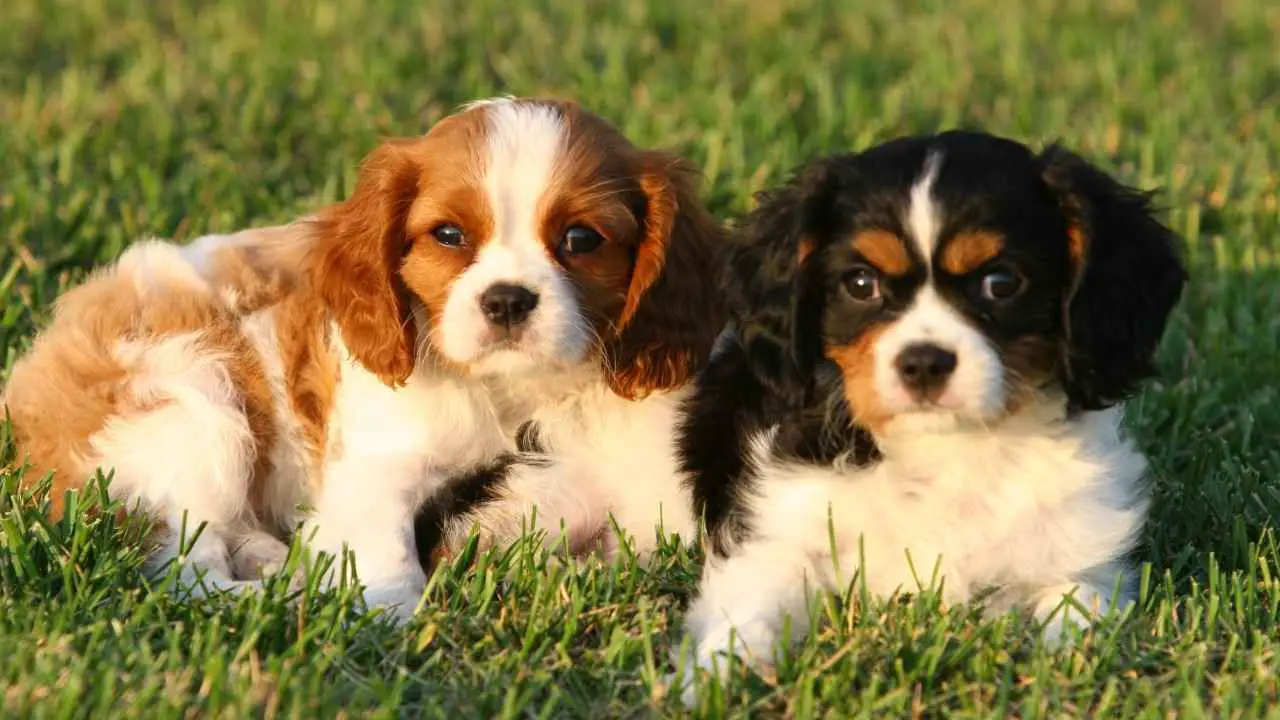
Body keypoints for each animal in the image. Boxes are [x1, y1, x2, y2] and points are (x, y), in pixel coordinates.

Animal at [2, 94, 721, 609]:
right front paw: (382, 615)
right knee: (182, 561)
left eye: (581, 239)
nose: (508, 300)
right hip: (192, 408)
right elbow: (384, 554)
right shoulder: (380, 462)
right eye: (449, 235)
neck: (514, 391)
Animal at [675, 130, 1182, 691]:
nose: (923, 363)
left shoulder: (1082, 554)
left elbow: (1078, 607)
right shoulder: (775, 534)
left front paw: (1075, 658)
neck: (951, 447)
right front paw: (719, 674)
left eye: (1001, 283)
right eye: (860, 284)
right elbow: (752, 608)